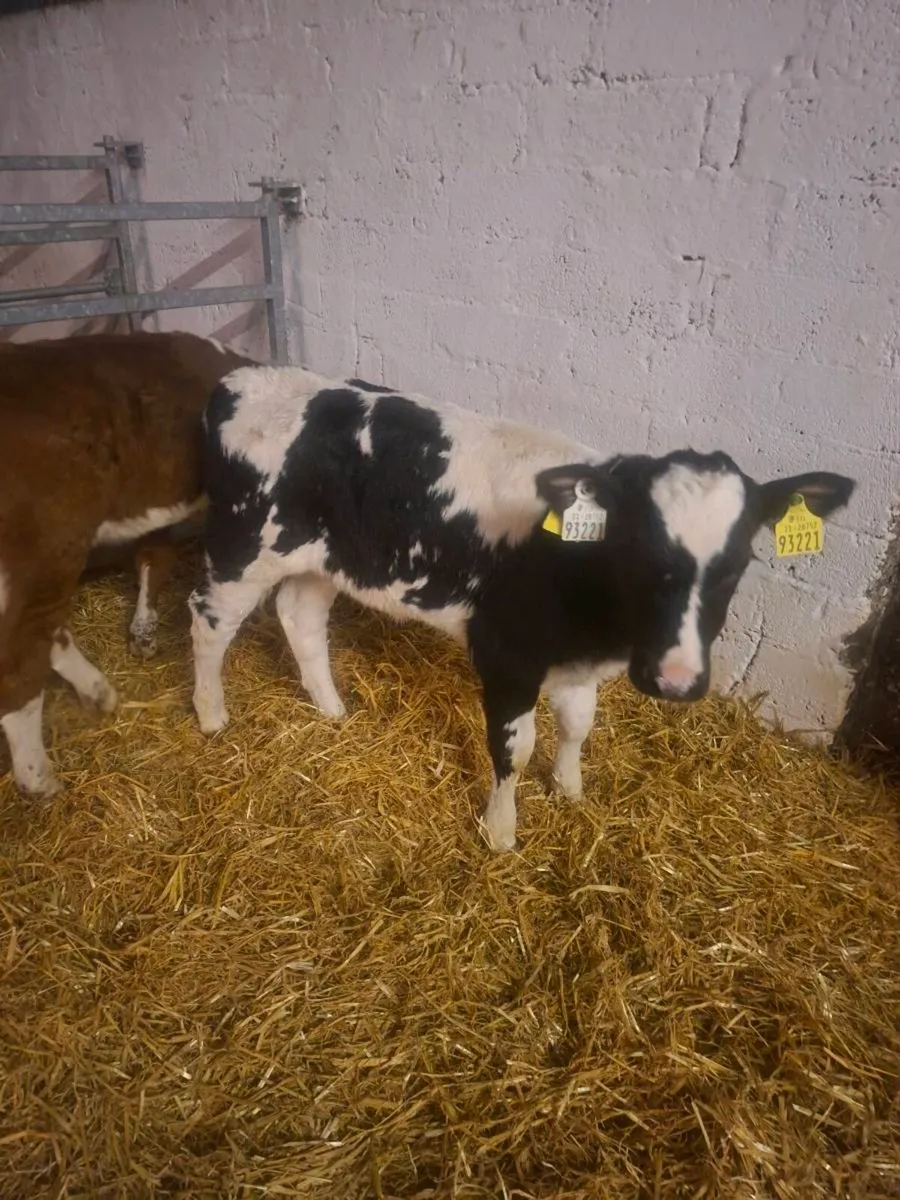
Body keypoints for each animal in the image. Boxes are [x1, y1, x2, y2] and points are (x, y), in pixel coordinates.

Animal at [0, 330, 253, 800]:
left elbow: (153, 556)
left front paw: (144, 630)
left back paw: (99, 693)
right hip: (49, 548)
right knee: (22, 661)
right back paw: (37, 778)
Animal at [188, 367, 855, 851]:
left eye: (737, 564)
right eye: (639, 549)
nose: (677, 680)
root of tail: (241, 380)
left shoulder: (576, 664)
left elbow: (578, 725)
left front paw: (570, 789)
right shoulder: (507, 654)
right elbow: (515, 747)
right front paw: (502, 833)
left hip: (324, 559)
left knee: (300, 616)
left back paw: (331, 709)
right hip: (243, 547)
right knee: (208, 618)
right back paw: (211, 714)